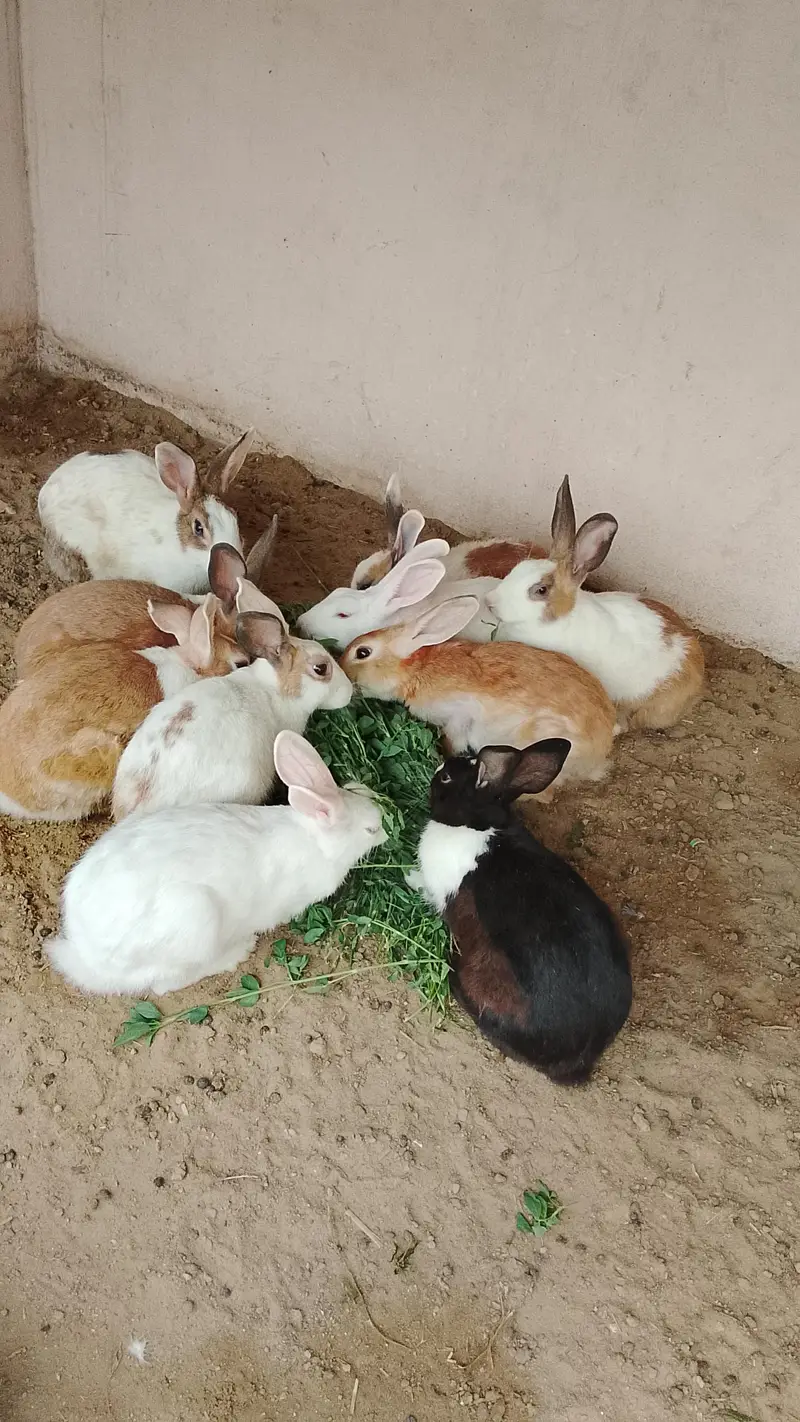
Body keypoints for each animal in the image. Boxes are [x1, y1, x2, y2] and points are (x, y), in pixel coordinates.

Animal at [46, 729, 386, 996]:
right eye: (370, 829)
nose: (384, 832)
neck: (315, 839)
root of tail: (85, 952)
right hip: (193, 919)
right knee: (165, 984)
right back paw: (237, 952)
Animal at [339, 596, 617, 797]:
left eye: (362, 653)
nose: (341, 670)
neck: (416, 671)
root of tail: (598, 755)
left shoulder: (457, 719)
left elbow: (454, 743)